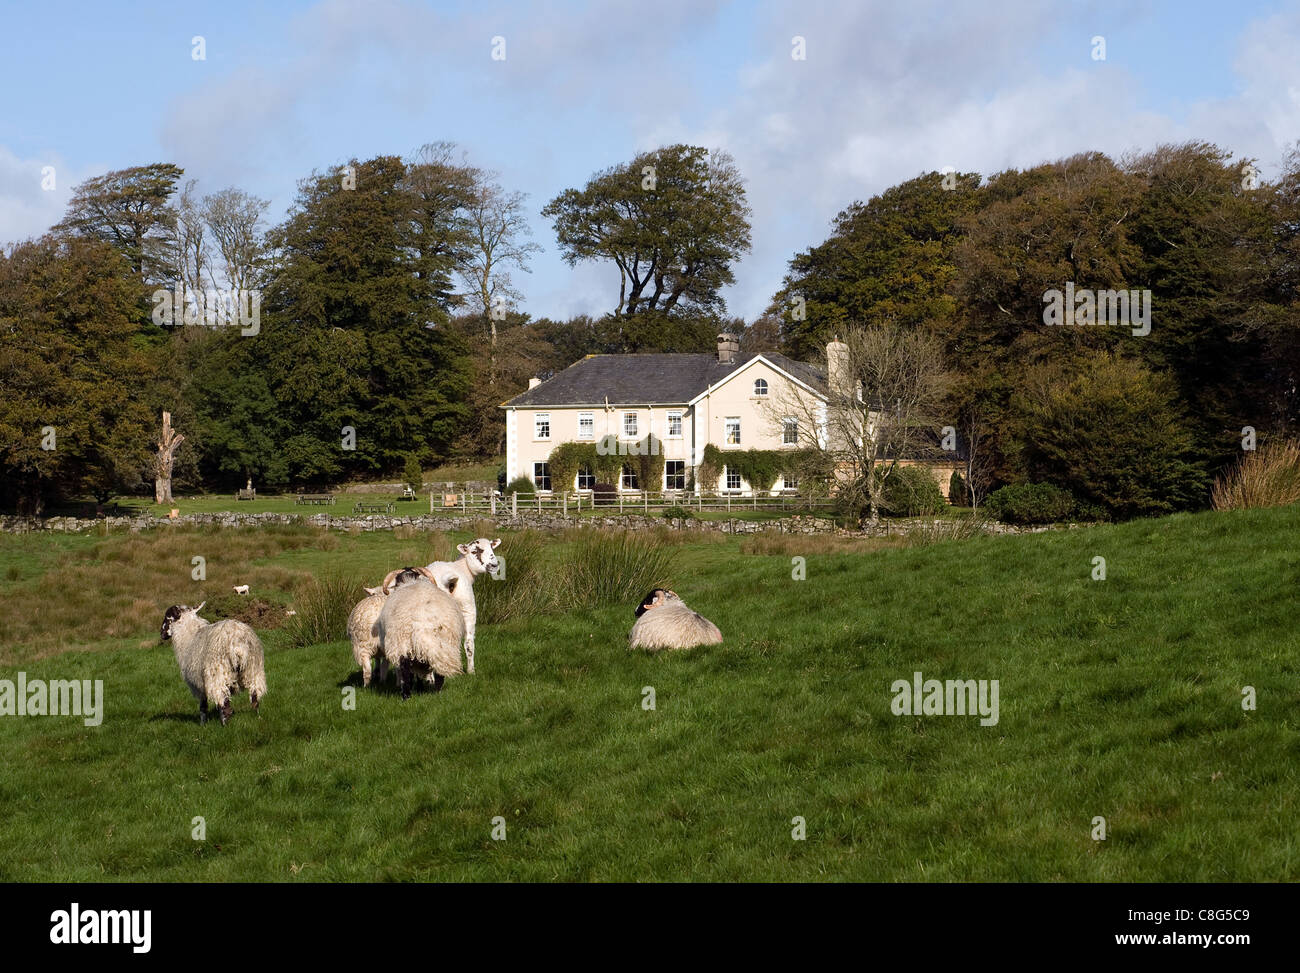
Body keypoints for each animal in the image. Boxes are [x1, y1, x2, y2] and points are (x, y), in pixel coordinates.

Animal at [159, 595, 266, 728]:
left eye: (168, 617)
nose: (161, 633)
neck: (188, 637)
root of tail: (238, 643)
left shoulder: (198, 683)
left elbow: (203, 706)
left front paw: (202, 725)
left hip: (218, 674)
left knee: (225, 705)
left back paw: (224, 726)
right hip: (253, 669)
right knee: (255, 698)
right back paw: (258, 718)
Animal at [431, 535, 501, 671]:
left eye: (492, 548)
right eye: (474, 551)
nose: (494, 565)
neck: (463, 568)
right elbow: (468, 643)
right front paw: (470, 670)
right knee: (467, 643)